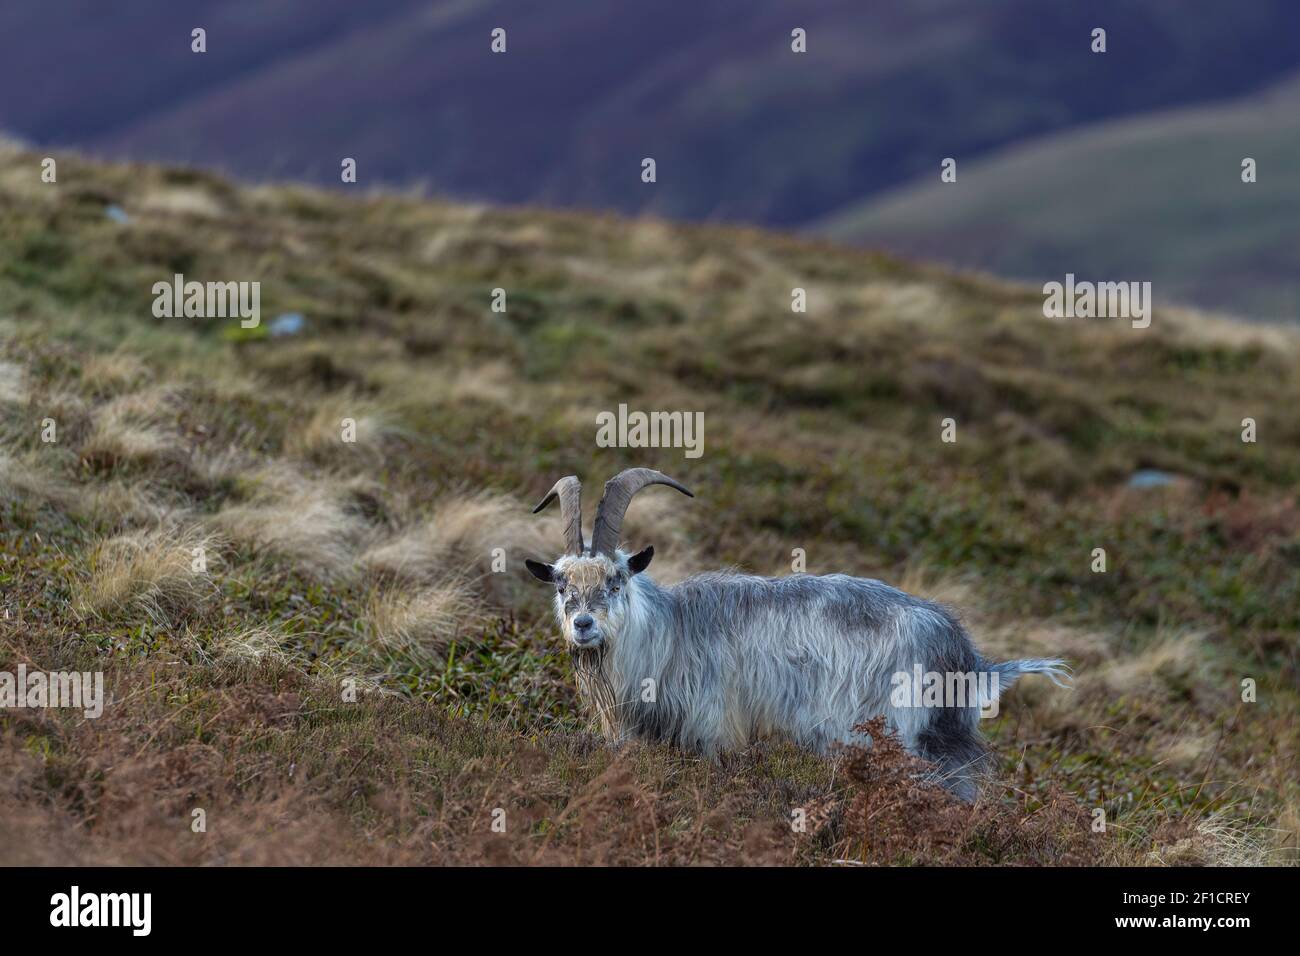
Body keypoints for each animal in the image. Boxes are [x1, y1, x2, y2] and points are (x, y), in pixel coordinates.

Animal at [522, 468, 1071, 796]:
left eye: (615, 581)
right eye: (561, 585)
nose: (583, 624)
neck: (668, 632)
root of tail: (968, 657)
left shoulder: (715, 728)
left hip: (905, 736)